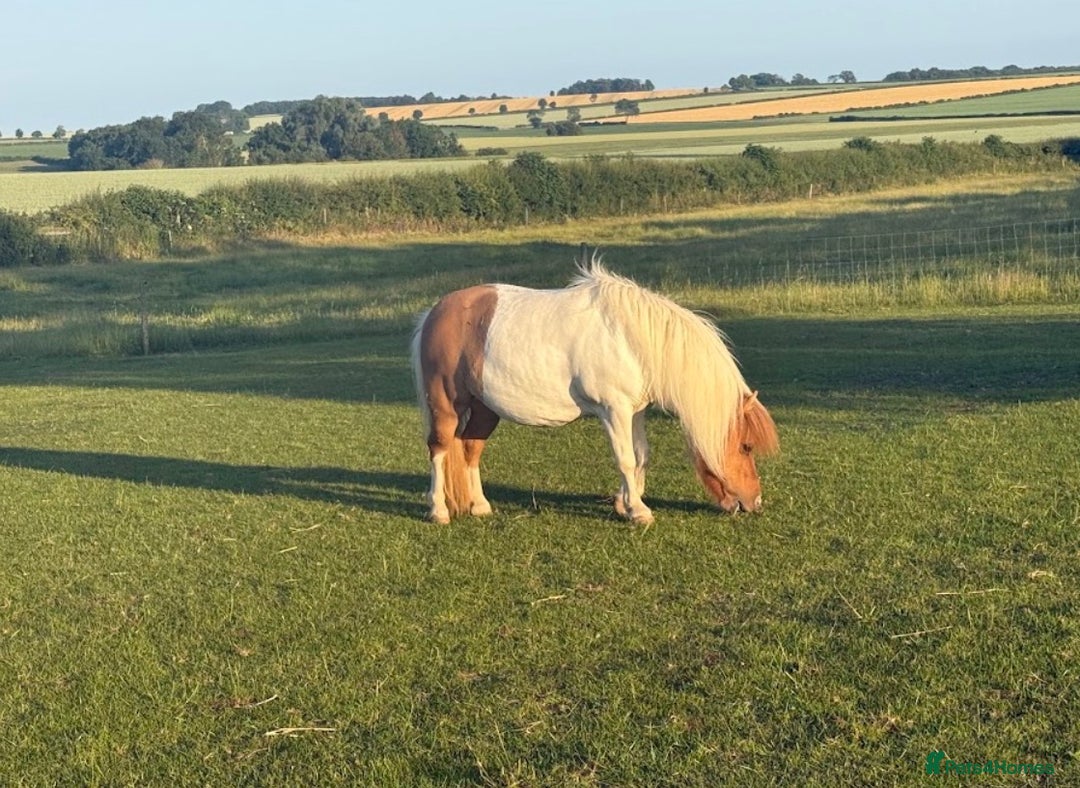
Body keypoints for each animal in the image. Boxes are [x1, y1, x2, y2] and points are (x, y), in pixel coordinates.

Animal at [410, 261, 779, 524]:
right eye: (746, 446)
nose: (755, 502)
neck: (632, 339)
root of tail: (434, 312)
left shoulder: (635, 410)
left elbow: (641, 455)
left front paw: (624, 503)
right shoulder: (613, 410)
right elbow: (625, 458)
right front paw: (638, 512)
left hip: (486, 409)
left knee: (470, 448)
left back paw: (480, 506)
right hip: (446, 404)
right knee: (439, 449)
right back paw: (438, 511)